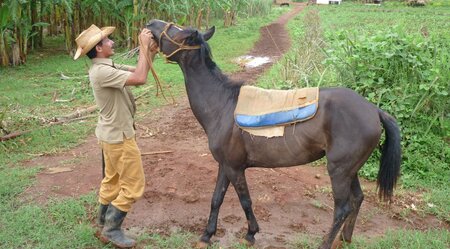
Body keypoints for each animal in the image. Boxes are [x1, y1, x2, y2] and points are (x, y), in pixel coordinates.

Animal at [147, 20, 400, 249]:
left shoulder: (235, 168)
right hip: (350, 170)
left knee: (342, 208)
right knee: (357, 199)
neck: (221, 104)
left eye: (177, 31)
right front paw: (207, 235)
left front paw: (250, 234)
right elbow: (216, 199)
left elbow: (245, 200)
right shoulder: (224, 165)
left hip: (339, 171)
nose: (150, 23)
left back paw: (326, 243)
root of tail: (373, 110)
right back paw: (344, 239)